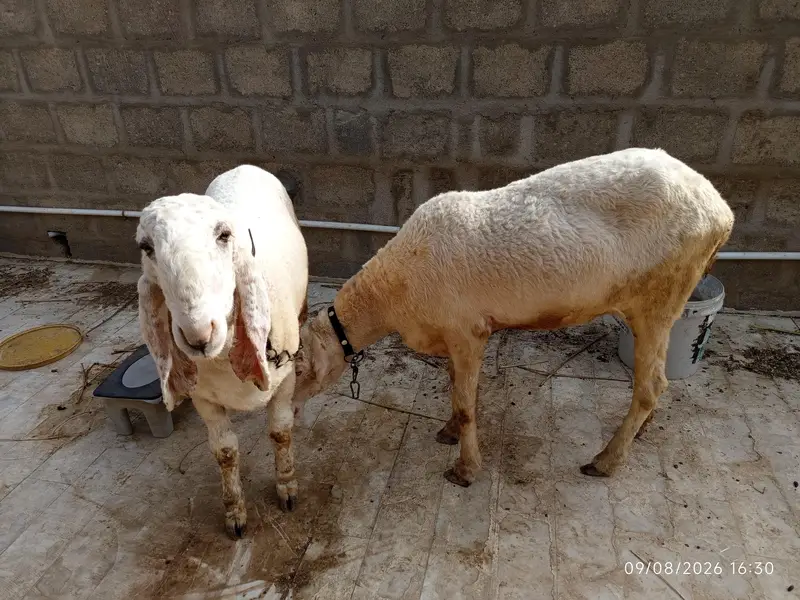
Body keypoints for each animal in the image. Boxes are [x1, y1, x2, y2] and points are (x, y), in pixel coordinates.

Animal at [136, 164, 308, 538]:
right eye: (145, 246)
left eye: (224, 235)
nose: (198, 334)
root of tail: (244, 167)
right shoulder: (205, 399)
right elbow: (225, 452)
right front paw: (235, 513)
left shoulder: (283, 380)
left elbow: (280, 431)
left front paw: (287, 486)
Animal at [291, 148, 734, 487]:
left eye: (298, 370)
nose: (288, 413)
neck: (392, 288)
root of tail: (719, 207)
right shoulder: (452, 334)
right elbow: (456, 389)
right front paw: (449, 432)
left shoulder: (466, 330)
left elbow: (467, 404)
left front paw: (465, 470)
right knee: (652, 382)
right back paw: (637, 433)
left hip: (660, 295)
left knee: (651, 385)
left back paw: (606, 461)